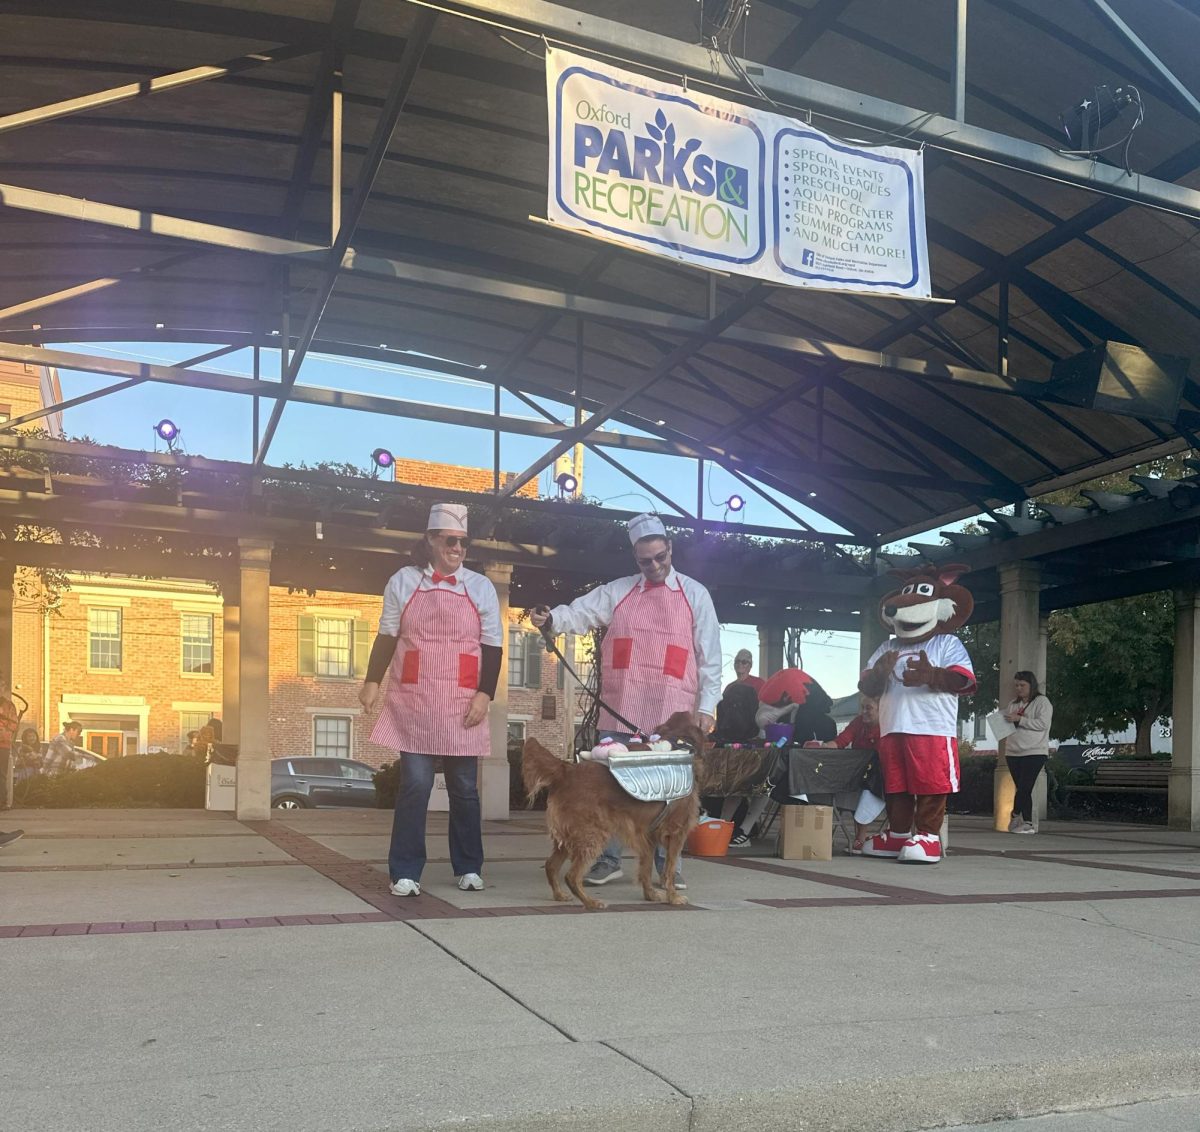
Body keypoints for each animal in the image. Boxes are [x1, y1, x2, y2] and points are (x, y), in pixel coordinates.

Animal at [518, 715, 700, 912]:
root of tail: (566, 770)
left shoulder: (647, 836)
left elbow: (646, 869)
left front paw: (650, 895)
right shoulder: (676, 833)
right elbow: (669, 870)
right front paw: (673, 897)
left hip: (571, 835)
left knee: (551, 866)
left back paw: (560, 895)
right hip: (592, 833)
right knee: (571, 876)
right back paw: (591, 902)